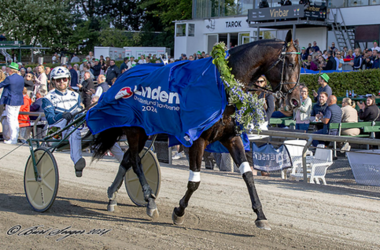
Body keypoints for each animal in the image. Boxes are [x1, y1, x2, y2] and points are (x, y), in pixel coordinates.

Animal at [91, 29, 300, 230]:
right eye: (291, 64)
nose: (295, 100)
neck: (223, 85)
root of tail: (122, 78)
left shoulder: (231, 137)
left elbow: (248, 175)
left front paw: (260, 216)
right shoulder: (196, 139)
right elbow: (194, 181)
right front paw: (179, 212)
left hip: (144, 130)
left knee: (127, 159)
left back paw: (112, 195)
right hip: (135, 129)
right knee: (135, 161)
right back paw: (150, 201)